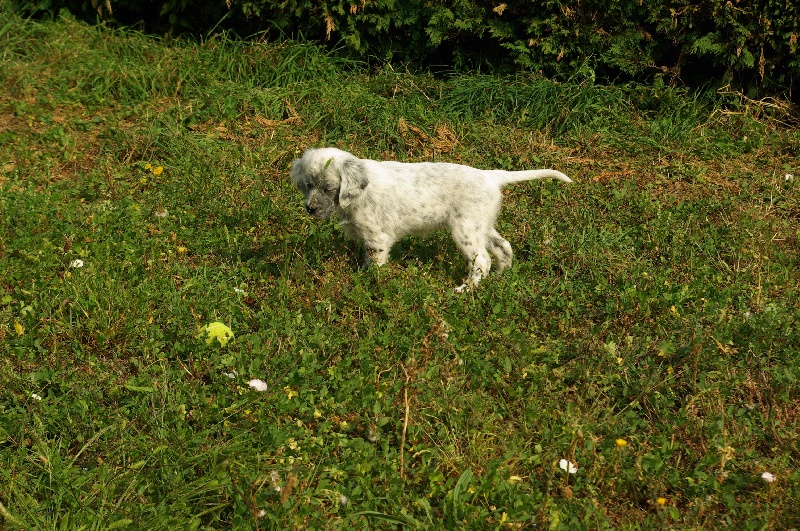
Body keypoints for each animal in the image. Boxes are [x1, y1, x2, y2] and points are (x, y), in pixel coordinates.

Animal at [290, 147, 572, 291]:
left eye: (328, 187)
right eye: (308, 185)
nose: (310, 209)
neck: (356, 195)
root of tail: (491, 175)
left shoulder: (377, 239)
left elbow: (374, 267)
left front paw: (368, 284)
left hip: (465, 228)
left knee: (482, 259)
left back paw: (465, 290)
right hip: (481, 224)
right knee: (503, 247)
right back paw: (502, 278)